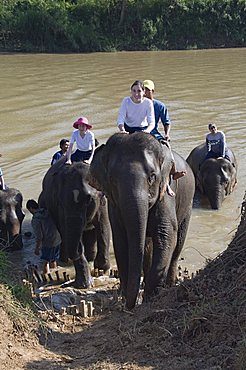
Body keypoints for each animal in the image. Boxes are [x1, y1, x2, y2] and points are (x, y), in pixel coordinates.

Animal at [38, 157, 110, 290]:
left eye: (88, 201)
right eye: (60, 202)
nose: (78, 251)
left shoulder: (103, 202)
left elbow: (103, 227)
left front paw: (101, 270)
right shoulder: (60, 210)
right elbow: (66, 231)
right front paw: (85, 284)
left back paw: (89, 258)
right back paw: (65, 260)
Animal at [89, 132, 195, 310]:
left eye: (152, 177)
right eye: (113, 180)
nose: (129, 306)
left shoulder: (165, 194)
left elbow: (166, 236)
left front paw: (150, 296)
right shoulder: (114, 205)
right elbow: (121, 241)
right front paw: (126, 295)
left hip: (187, 204)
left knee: (178, 244)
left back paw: (169, 284)